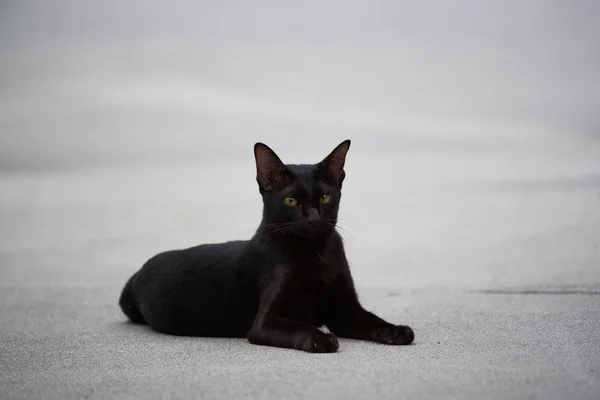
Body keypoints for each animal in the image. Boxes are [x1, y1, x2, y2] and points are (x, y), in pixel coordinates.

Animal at [119, 141, 414, 354]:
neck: (315, 253)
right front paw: (321, 338)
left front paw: (396, 330)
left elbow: (372, 320)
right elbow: (298, 327)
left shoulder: (344, 310)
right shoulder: (264, 323)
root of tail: (139, 270)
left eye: (325, 197)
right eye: (291, 200)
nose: (313, 218)